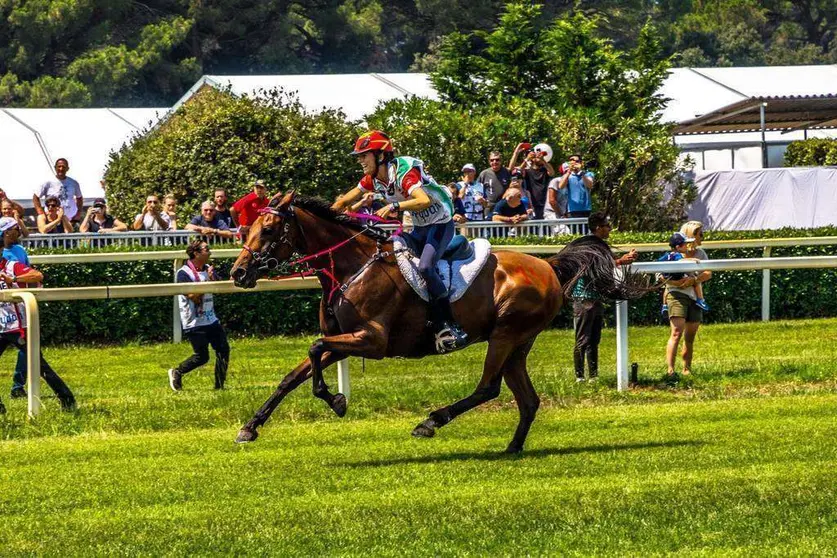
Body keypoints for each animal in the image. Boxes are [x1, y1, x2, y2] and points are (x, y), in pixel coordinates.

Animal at [229, 192, 640, 456]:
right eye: (245, 229)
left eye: (268, 231)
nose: (238, 273)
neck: (351, 268)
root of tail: (548, 264)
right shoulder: (343, 338)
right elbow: (294, 374)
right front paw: (250, 426)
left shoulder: (371, 340)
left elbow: (314, 349)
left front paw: (337, 400)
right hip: (519, 343)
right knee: (527, 399)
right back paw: (512, 447)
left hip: (506, 335)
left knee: (488, 388)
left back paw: (431, 421)